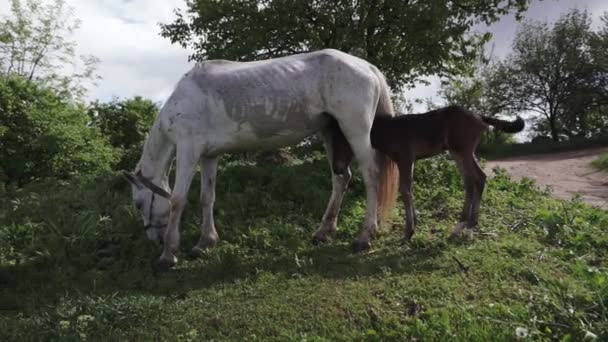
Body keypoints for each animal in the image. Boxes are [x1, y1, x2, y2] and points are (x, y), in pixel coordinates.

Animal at [123, 48, 400, 272]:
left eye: (138, 203)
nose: (154, 239)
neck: (183, 100)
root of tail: (367, 67)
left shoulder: (188, 150)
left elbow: (177, 201)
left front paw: (168, 255)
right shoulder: (209, 156)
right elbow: (206, 198)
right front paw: (205, 242)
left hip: (355, 131)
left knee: (371, 176)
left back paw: (365, 236)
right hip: (330, 133)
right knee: (341, 179)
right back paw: (323, 232)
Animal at [330, 105, 524, 242]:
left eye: (343, 143)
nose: (337, 169)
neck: (389, 130)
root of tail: (479, 117)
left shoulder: (405, 158)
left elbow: (405, 190)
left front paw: (409, 231)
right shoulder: (410, 161)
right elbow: (408, 189)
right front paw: (414, 224)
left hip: (463, 151)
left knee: (478, 178)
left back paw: (469, 226)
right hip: (458, 152)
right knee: (470, 181)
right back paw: (461, 226)